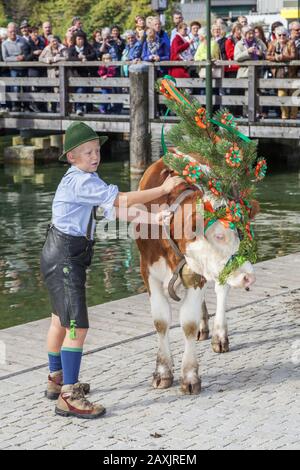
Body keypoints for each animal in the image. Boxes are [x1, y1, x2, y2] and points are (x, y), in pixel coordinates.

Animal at [135, 79, 266, 394]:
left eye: (241, 232)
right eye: (218, 235)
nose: (249, 277)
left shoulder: (194, 273)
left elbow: (187, 323)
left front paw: (190, 376)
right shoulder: (148, 271)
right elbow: (161, 322)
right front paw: (162, 372)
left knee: (220, 290)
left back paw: (218, 334)